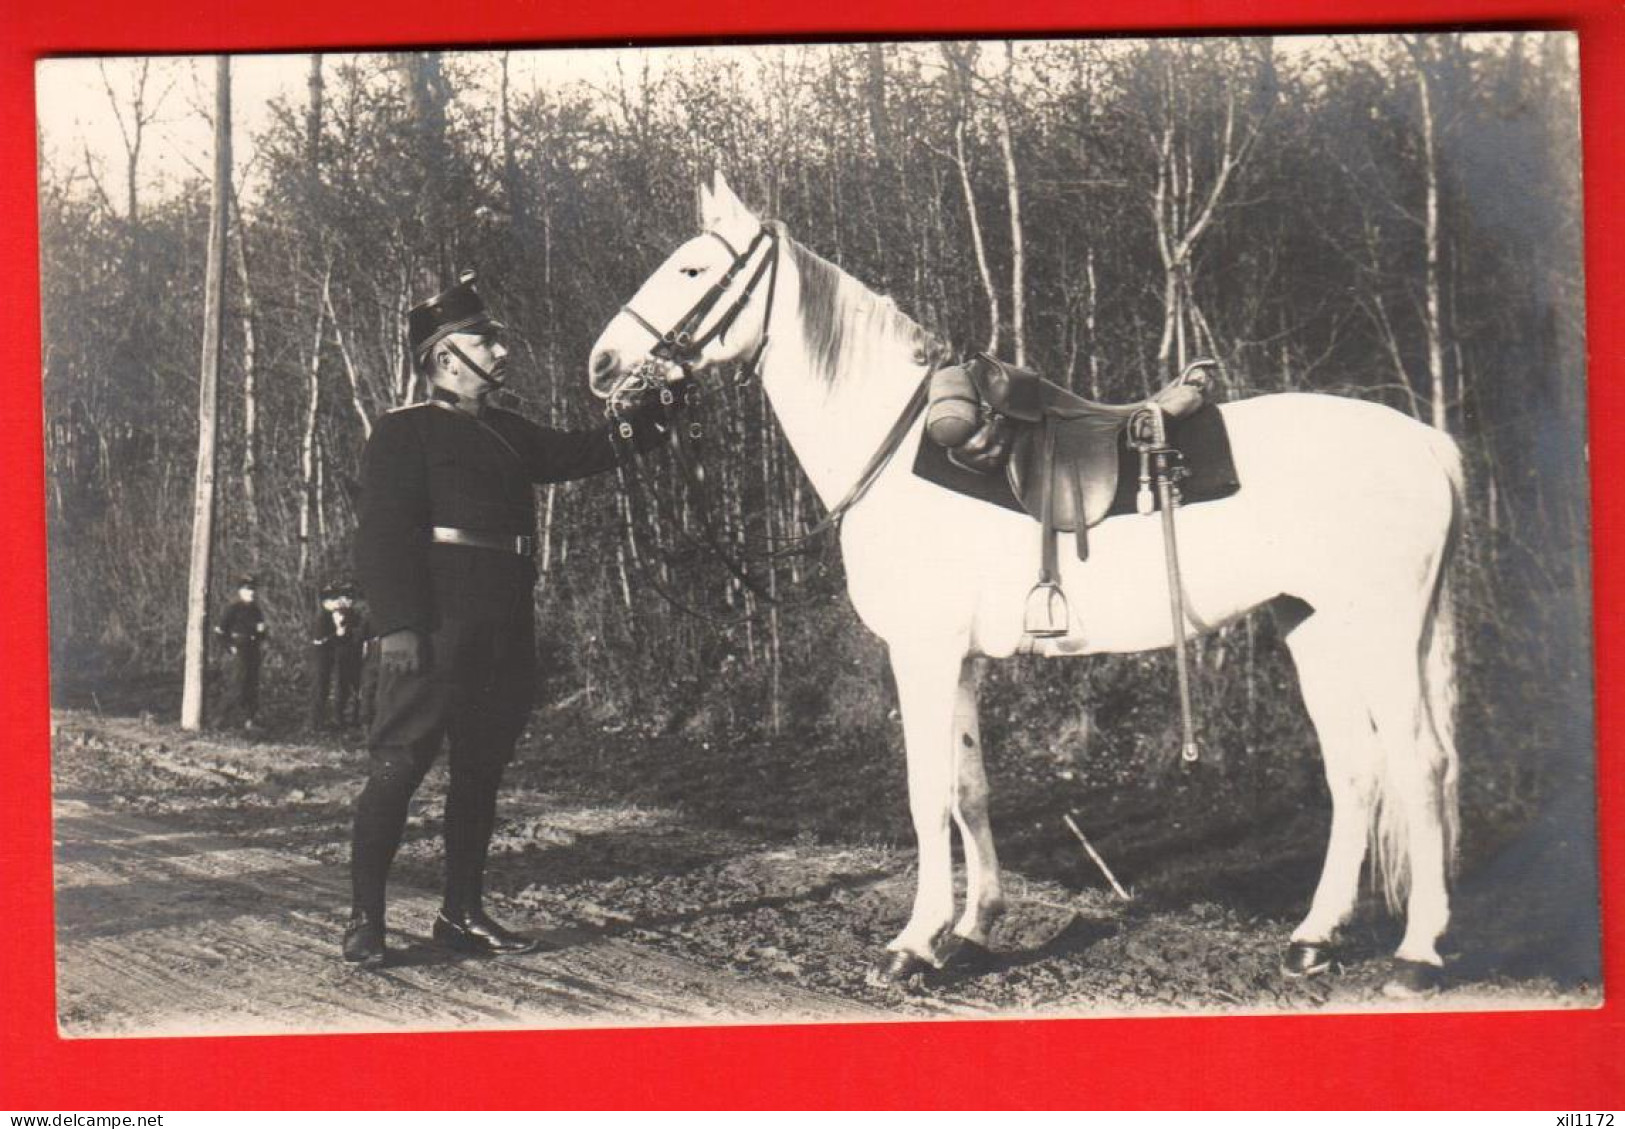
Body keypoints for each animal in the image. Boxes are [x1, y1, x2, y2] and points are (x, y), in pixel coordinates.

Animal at [585, 169, 1462, 1000]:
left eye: (692, 267)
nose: (602, 364)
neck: (894, 451)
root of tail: (1425, 443)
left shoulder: (923, 653)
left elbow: (926, 791)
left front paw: (912, 945)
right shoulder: (960, 660)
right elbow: (969, 788)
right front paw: (972, 929)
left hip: (1380, 630)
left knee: (1418, 762)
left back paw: (1417, 954)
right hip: (1311, 623)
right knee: (1355, 768)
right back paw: (1313, 938)